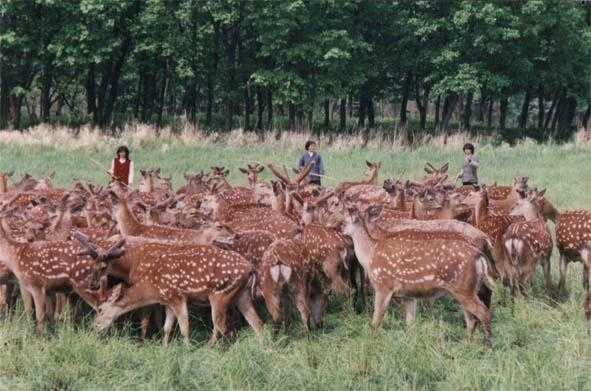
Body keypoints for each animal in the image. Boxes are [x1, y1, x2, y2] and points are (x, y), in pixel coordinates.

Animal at [342, 205, 494, 350]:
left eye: (342, 222)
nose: (338, 231)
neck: (369, 255)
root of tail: (480, 256)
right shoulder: (408, 295)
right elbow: (410, 323)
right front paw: (410, 344)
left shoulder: (383, 285)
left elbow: (376, 320)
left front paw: (371, 342)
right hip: (467, 289)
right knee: (471, 318)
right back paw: (467, 343)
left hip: (463, 288)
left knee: (483, 313)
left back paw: (487, 347)